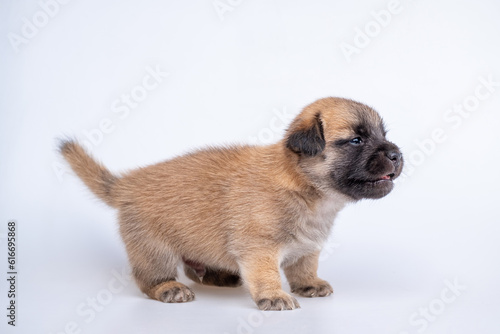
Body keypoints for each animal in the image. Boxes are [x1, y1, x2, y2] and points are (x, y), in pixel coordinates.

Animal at [59, 96, 402, 310]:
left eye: (382, 135)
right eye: (356, 140)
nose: (396, 154)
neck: (304, 186)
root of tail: (126, 184)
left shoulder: (308, 247)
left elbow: (304, 266)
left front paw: (309, 284)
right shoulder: (259, 249)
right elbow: (266, 273)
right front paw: (273, 295)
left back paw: (217, 275)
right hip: (154, 250)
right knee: (149, 278)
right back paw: (168, 288)